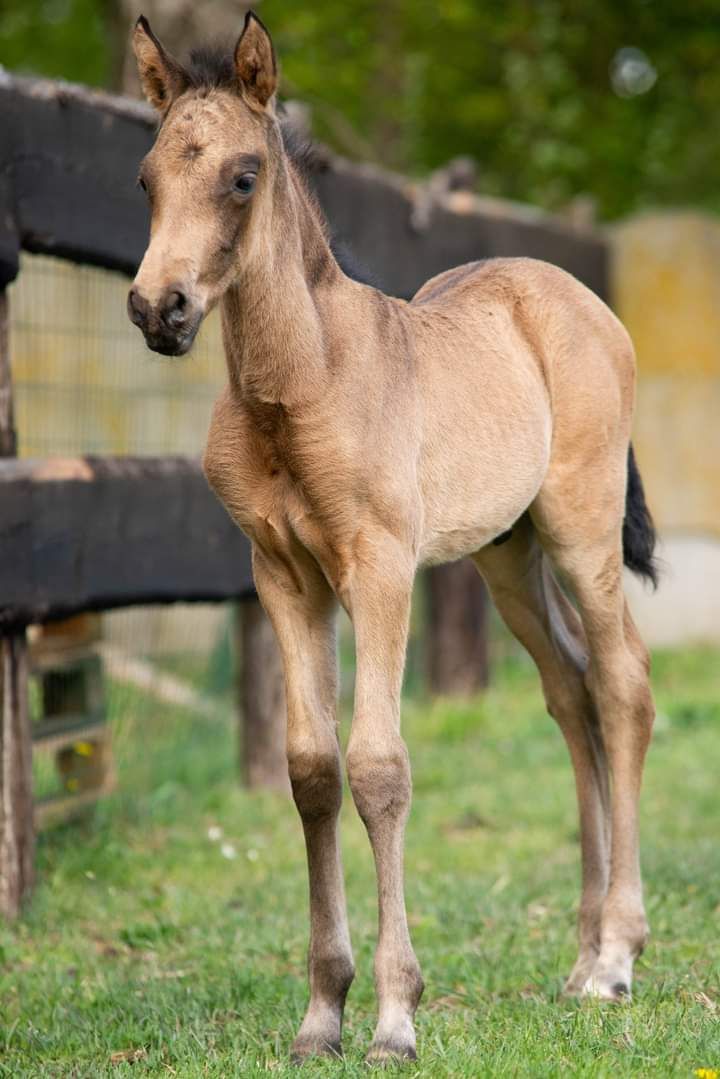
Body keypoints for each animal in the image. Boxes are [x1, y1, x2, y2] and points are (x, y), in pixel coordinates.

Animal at [126, 12, 656, 1066]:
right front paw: (320, 1014)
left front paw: (394, 1017)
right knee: (571, 692)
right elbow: (312, 770)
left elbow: (380, 767)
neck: (298, 389)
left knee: (622, 685)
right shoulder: (283, 576)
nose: (159, 308)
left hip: (582, 533)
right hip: (507, 555)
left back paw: (617, 957)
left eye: (243, 176)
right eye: (147, 178)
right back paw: (580, 957)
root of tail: (577, 296)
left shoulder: (377, 569)